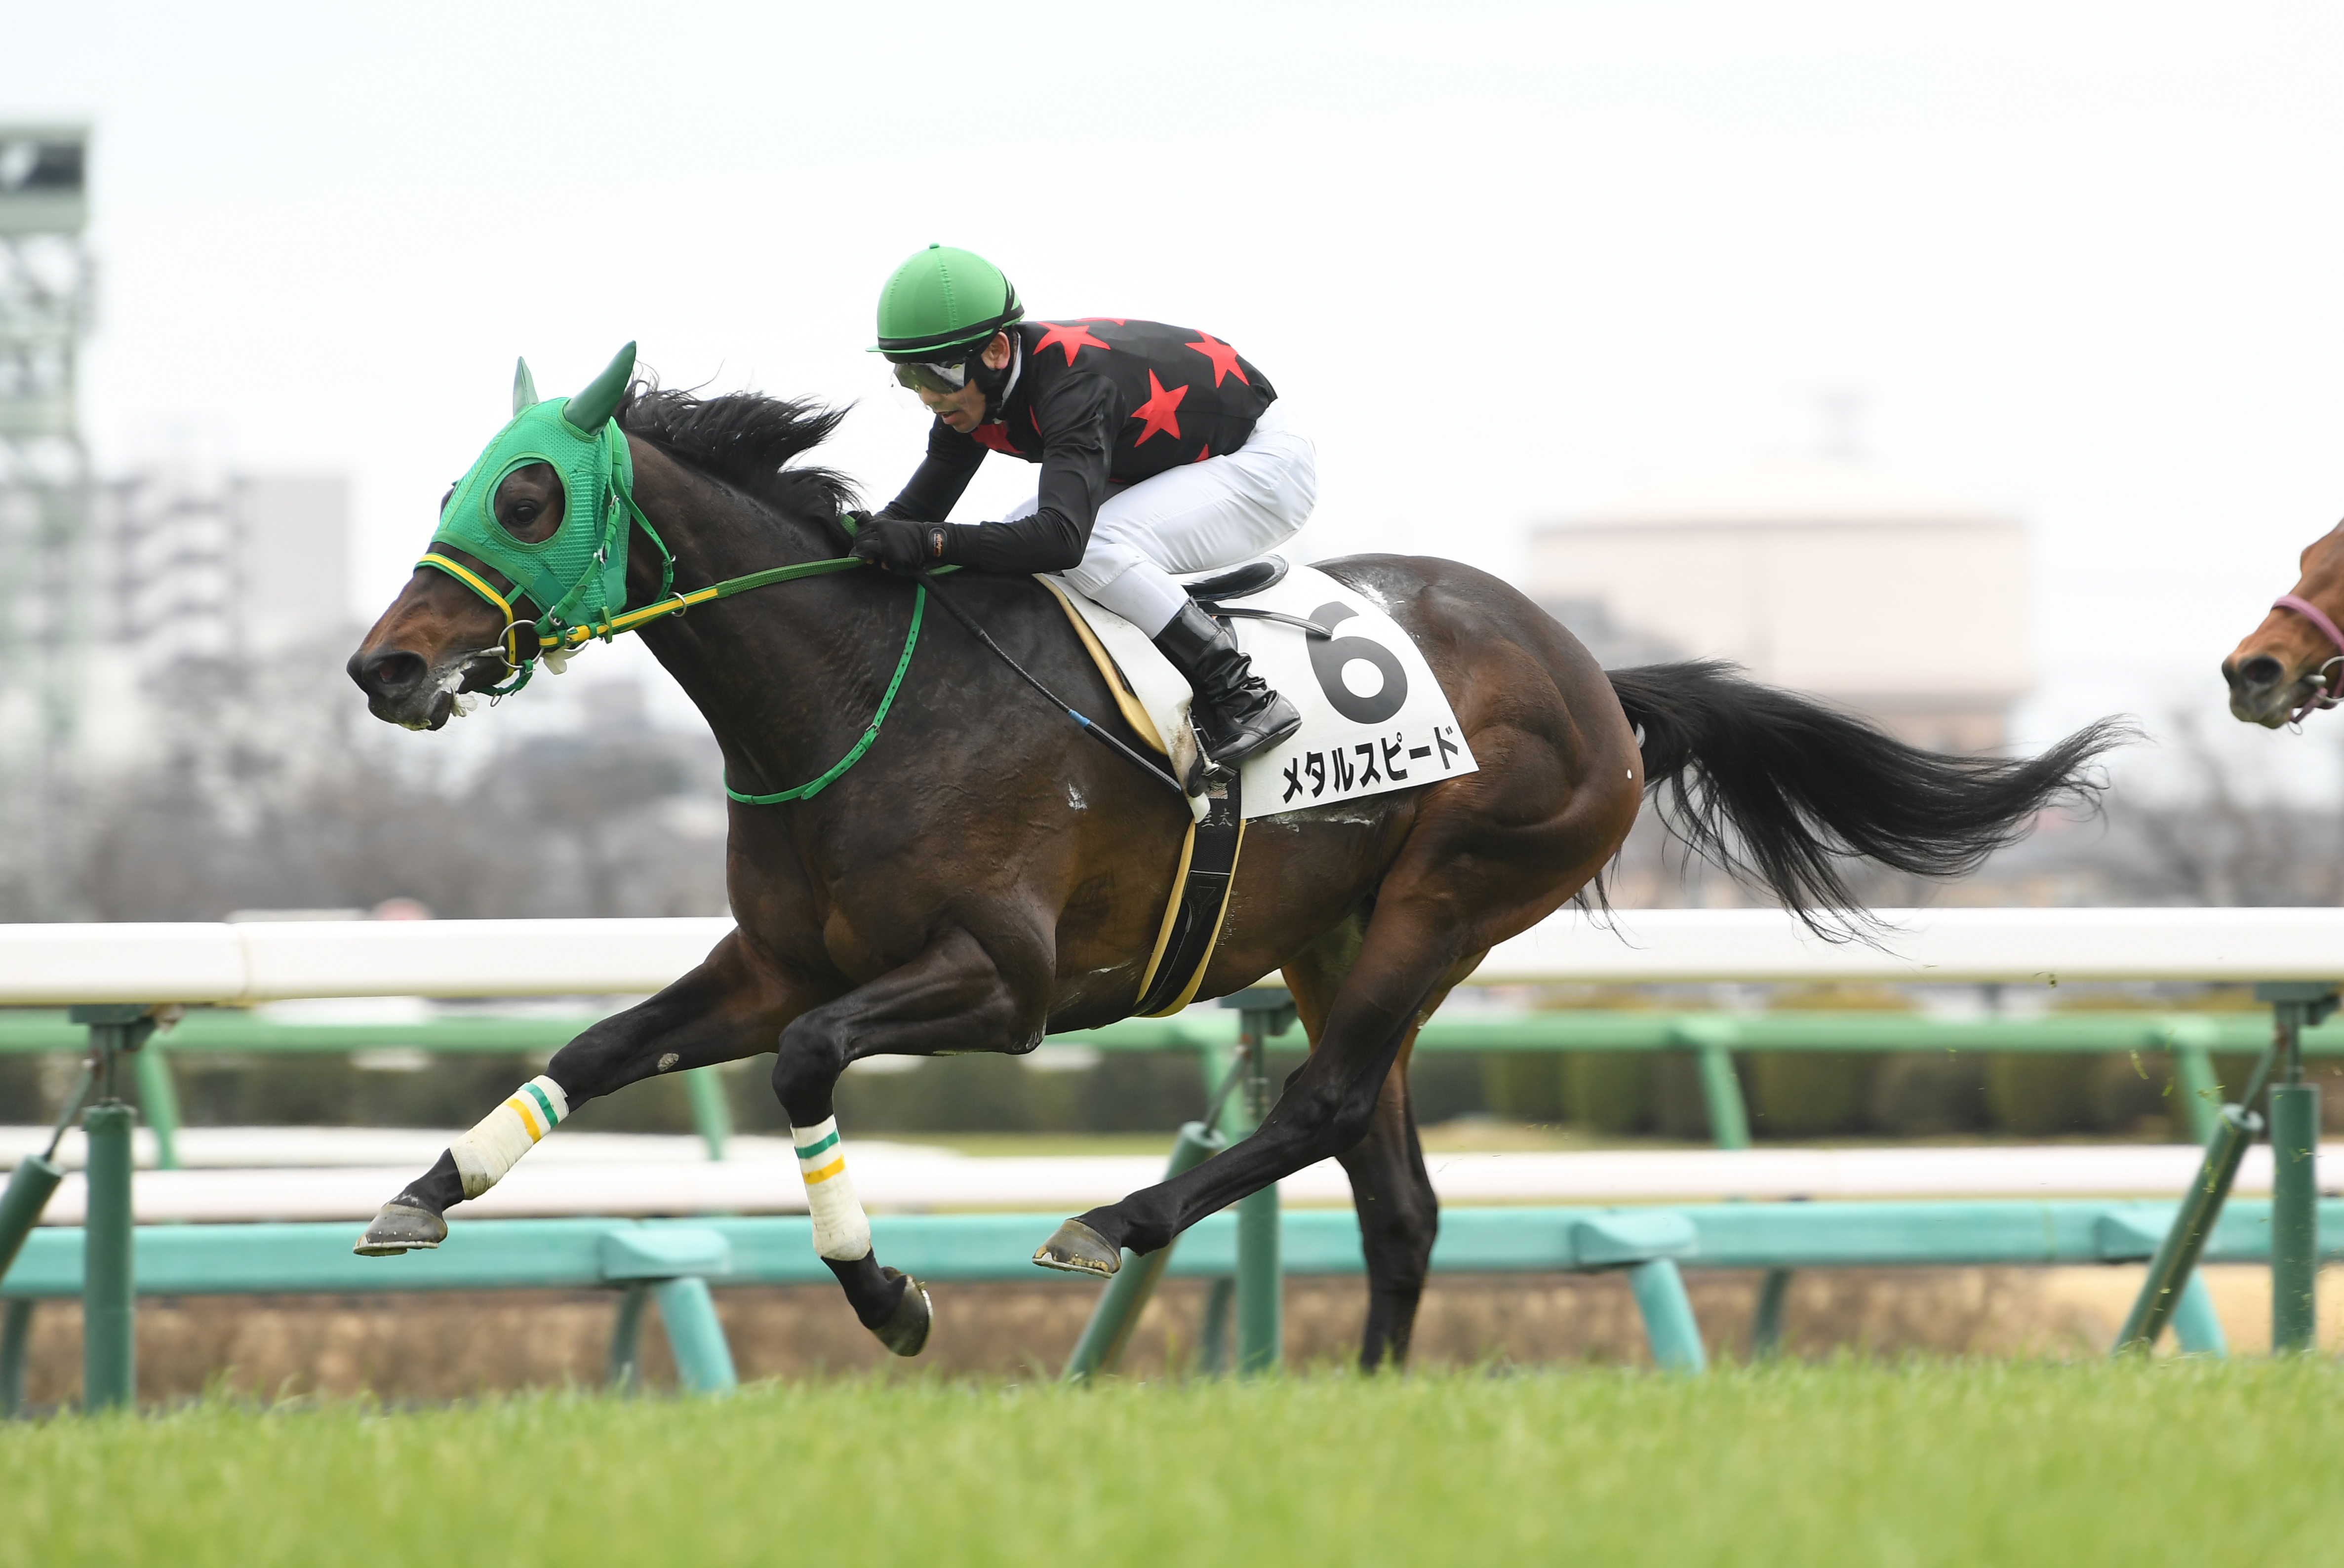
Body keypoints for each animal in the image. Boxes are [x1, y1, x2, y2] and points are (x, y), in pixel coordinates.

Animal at [348, 348, 2123, 1368]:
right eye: (456, 485)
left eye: (529, 494)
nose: (385, 665)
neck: (859, 690)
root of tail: (1592, 677)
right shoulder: (780, 958)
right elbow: (599, 1045)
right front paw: (425, 1191)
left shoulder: (1002, 984)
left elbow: (802, 1068)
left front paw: (888, 1295)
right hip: (1338, 933)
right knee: (1394, 1190)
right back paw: (1368, 1399)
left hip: (1450, 894)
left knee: (1324, 1110)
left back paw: (1113, 1218)